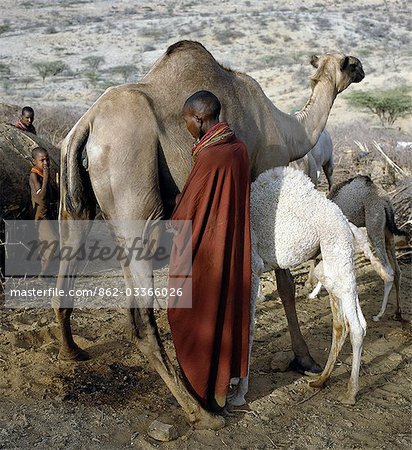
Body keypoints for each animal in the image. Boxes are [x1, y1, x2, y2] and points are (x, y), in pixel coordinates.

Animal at [55, 39, 364, 428]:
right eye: (347, 62)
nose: (362, 67)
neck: (286, 128)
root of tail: (87, 123)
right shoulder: (267, 177)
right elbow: (284, 284)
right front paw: (304, 359)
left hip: (77, 202)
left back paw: (72, 351)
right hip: (134, 192)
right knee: (142, 320)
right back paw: (198, 410)